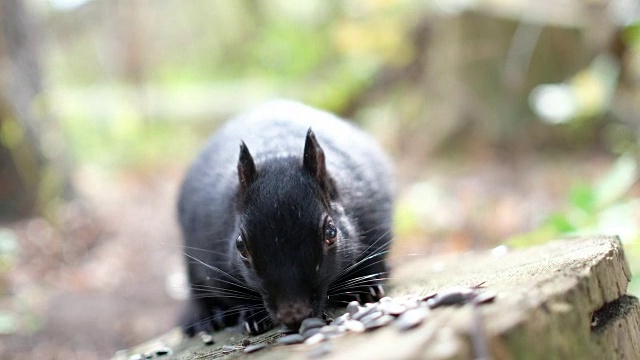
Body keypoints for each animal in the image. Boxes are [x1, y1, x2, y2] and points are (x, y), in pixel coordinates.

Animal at [178, 99, 392, 334]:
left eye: (331, 232)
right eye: (240, 245)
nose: (294, 314)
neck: (277, 154)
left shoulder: (374, 221)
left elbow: (372, 259)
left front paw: (364, 286)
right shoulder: (215, 264)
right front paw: (253, 315)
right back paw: (207, 318)